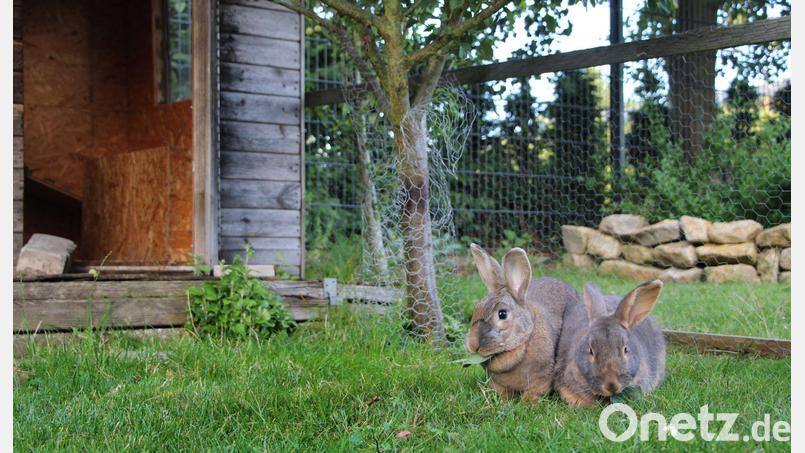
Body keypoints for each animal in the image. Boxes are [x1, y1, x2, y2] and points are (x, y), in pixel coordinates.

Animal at [465, 244, 579, 401]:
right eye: (476, 308)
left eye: (502, 314)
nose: (472, 344)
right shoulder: (497, 383)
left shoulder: (541, 380)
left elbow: (534, 392)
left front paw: (528, 403)